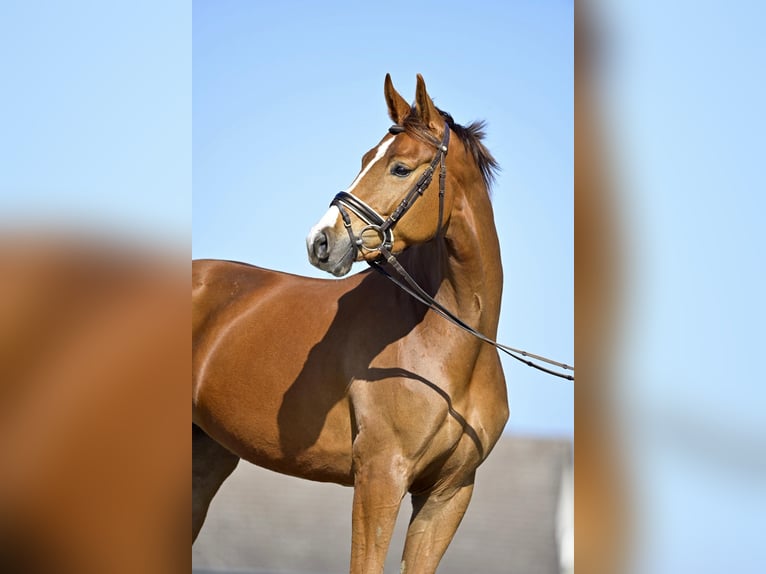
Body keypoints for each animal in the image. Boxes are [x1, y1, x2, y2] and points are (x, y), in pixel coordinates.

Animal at [192, 74, 509, 573]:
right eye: (364, 159)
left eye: (399, 168)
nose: (320, 242)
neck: (448, 346)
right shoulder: (379, 478)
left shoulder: (448, 494)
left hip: (205, 455)